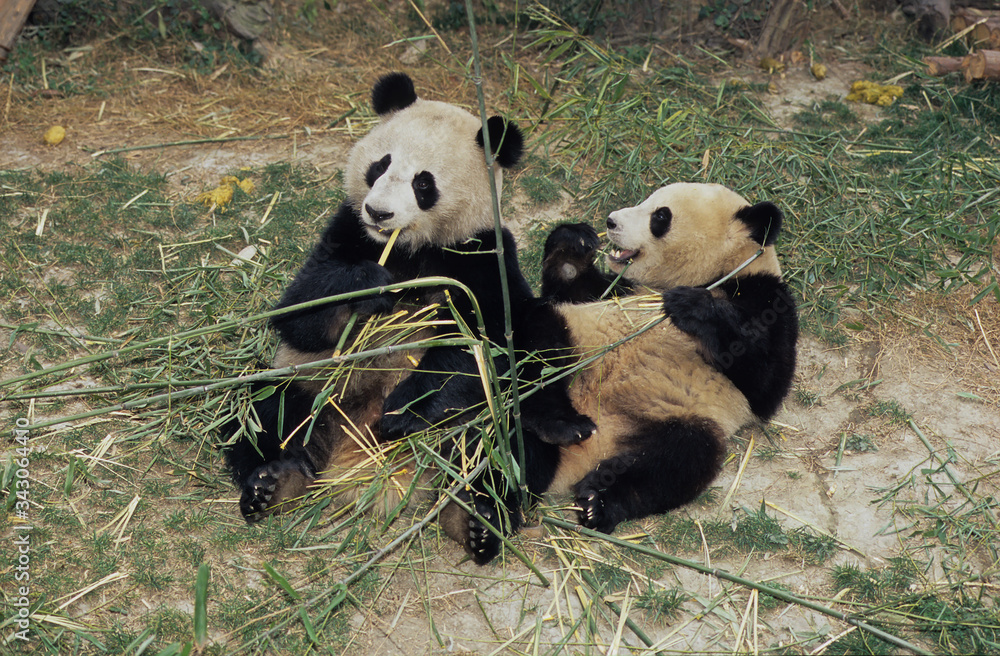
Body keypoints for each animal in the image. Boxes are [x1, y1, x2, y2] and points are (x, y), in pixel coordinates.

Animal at [222, 73, 591, 522]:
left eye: (423, 183)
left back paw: (480, 512)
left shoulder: (482, 255)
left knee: (516, 434)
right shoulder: (346, 232)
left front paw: (402, 412)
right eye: (380, 165)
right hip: (313, 387)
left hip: (483, 419)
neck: (407, 248)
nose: (379, 213)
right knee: (261, 409)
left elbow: (481, 343)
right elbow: (298, 313)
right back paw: (273, 483)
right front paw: (366, 286)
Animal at [439, 182, 799, 564]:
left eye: (660, 216)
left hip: (678, 418)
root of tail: (591, 446)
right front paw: (572, 242)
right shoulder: (617, 292)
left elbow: (765, 382)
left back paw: (594, 502)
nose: (611, 221)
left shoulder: (766, 298)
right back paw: (481, 512)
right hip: (565, 348)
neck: (716, 272)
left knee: (676, 460)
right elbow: (571, 288)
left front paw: (692, 306)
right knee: (531, 381)